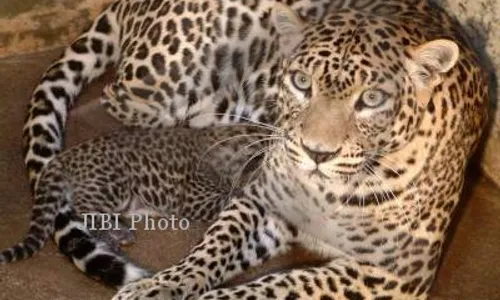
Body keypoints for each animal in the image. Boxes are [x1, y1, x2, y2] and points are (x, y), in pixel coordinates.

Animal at [20, 0, 488, 298]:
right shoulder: (261, 201)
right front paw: (156, 287)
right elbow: (210, 249)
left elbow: (281, 284)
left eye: (371, 99)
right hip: (166, 79)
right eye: (301, 82)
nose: (317, 153)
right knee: (119, 96)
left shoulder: (392, 274)